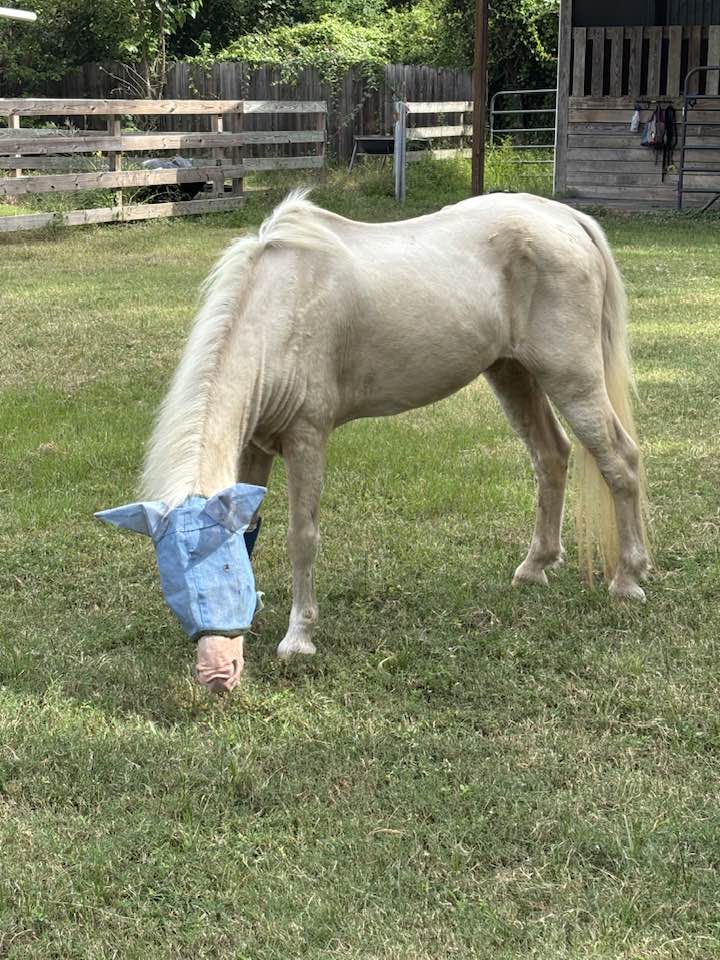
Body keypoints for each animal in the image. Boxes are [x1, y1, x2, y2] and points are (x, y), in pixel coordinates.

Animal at [134, 189, 649, 691]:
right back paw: (535, 566)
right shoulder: (255, 446)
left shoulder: (307, 436)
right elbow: (249, 531)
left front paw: (298, 637)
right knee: (551, 455)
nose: (216, 674)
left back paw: (628, 579)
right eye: (171, 579)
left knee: (620, 461)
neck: (282, 307)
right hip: (513, 373)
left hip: (572, 378)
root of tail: (566, 219)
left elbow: (303, 536)